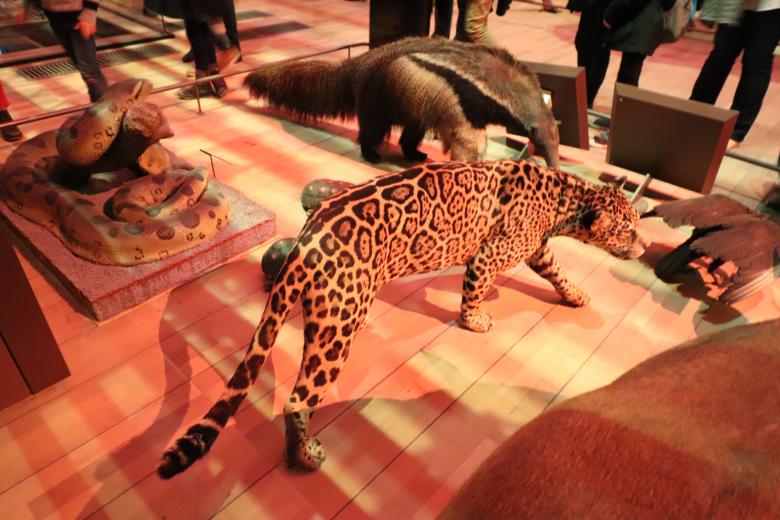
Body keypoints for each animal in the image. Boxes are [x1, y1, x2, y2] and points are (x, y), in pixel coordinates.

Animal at [157, 158, 650, 478]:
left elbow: (557, 271)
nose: (645, 247)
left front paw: (577, 295)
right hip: (332, 335)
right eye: (628, 229)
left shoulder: (537, 250)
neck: (567, 200)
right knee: (297, 400)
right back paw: (305, 459)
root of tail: (303, 242)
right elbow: (475, 290)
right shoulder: (490, 254)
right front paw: (475, 320)